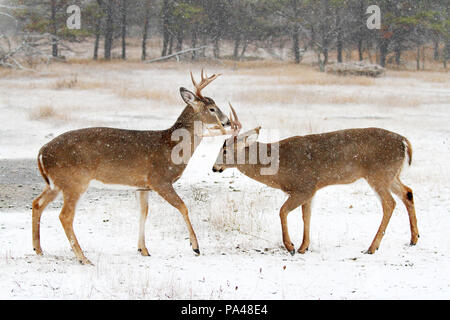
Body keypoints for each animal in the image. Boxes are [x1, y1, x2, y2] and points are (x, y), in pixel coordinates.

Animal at [32, 70, 239, 264]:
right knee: (65, 215)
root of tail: (42, 151)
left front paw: (143, 250)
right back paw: (83, 258)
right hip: (74, 181)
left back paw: (39, 250)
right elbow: (183, 206)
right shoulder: (160, 179)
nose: (228, 121)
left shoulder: (142, 186)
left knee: (37, 203)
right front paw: (195, 246)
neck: (172, 146)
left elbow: (143, 213)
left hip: (55, 183)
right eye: (212, 108)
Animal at [213, 114, 420, 255]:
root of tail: (404, 142)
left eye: (225, 150)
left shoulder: (304, 186)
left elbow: (283, 211)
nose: (215, 168)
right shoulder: (311, 190)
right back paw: (413, 239)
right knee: (408, 192)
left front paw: (291, 247)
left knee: (389, 203)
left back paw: (371, 247)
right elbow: (307, 216)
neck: (279, 167)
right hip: (391, 175)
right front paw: (303, 246)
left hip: (378, 174)